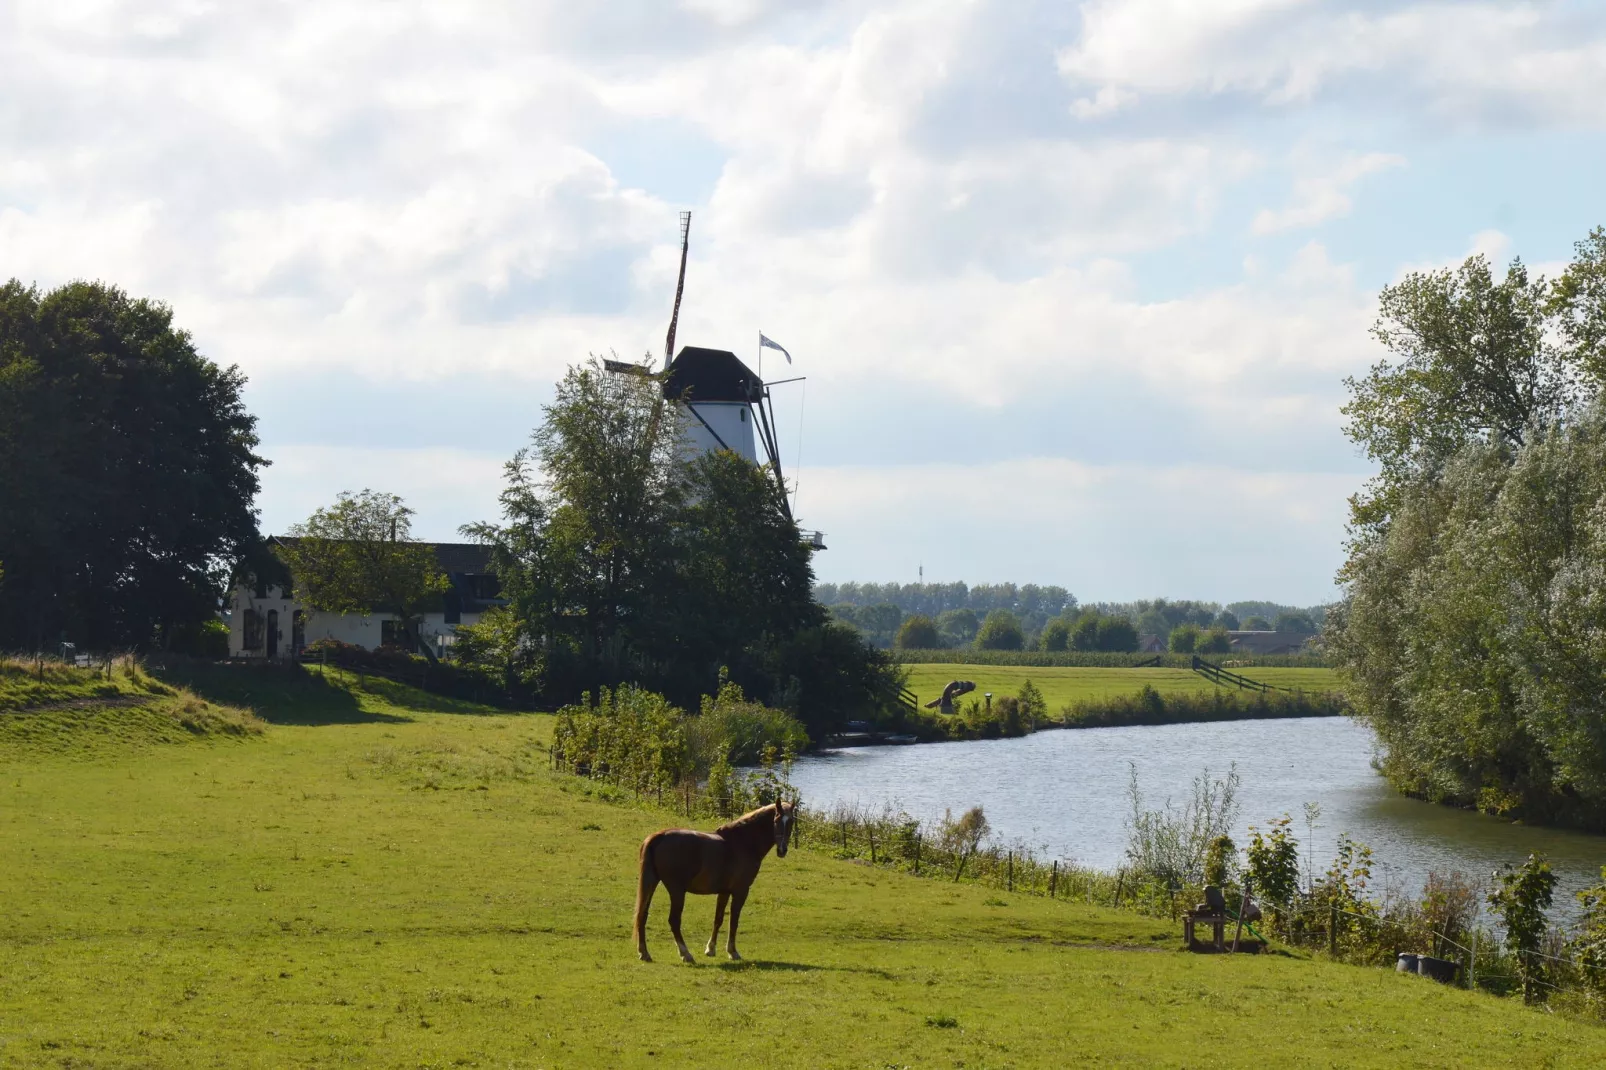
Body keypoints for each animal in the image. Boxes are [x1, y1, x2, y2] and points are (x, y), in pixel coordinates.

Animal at [632, 796, 796, 963]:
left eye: (791, 821)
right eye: (776, 819)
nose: (782, 850)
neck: (743, 842)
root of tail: (658, 837)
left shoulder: (724, 892)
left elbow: (718, 919)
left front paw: (710, 949)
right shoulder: (741, 891)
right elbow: (734, 920)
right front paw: (732, 951)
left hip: (652, 883)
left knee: (642, 915)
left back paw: (644, 953)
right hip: (676, 891)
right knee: (674, 920)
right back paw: (685, 954)